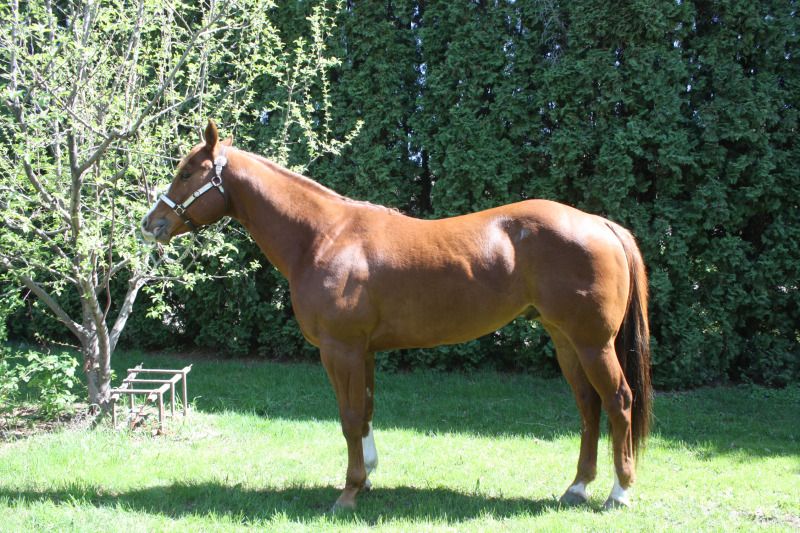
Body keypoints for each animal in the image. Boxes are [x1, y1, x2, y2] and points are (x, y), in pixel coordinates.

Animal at [141, 120, 652, 511]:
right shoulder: (364, 351)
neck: (323, 237)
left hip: (592, 343)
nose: (152, 225)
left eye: (187, 172)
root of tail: (599, 223)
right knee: (587, 406)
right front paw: (366, 478)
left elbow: (349, 416)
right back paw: (577, 488)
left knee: (618, 401)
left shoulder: (341, 349)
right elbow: (366, 411)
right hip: (565, 340)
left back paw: (619, 494)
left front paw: (348, 493)